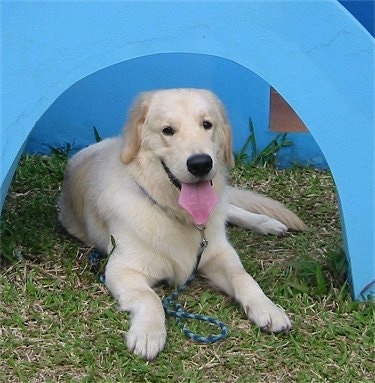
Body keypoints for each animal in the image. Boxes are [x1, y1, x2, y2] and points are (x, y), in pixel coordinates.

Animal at [58, 88, 306, 362]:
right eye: (167, 130)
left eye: (207, 124)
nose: (200, 164)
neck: (174, 211)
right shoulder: (122, 269)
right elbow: (150, 297)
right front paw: (148, 333)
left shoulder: (218, 253)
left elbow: (243, 277)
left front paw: (268, 308)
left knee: (230, 208)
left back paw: (267, 222)